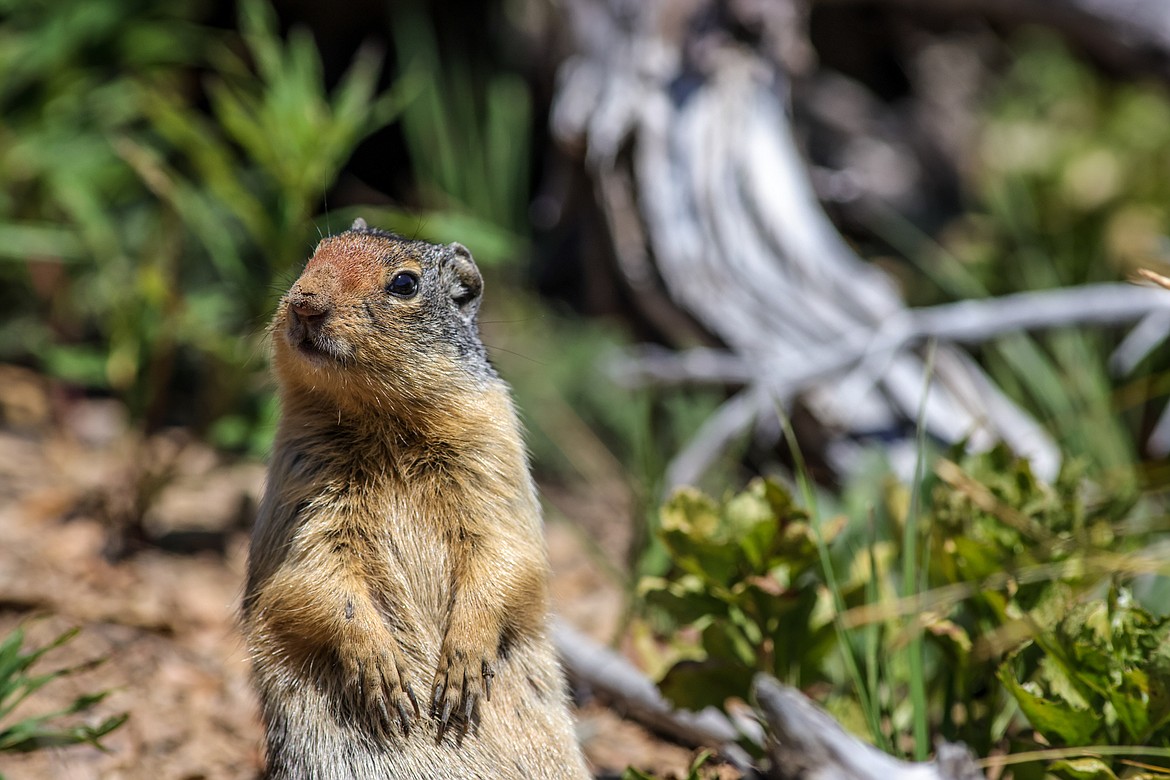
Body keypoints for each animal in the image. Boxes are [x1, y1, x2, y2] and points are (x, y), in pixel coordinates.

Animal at [246, 222, 594, 776]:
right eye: (314, 254)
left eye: (405, 284)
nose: (304, 302)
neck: (384, 422)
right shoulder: (302, 485)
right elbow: (316, 571)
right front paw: (383, 670)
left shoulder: (492, 459)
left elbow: (505, 551)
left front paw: (460, 669)